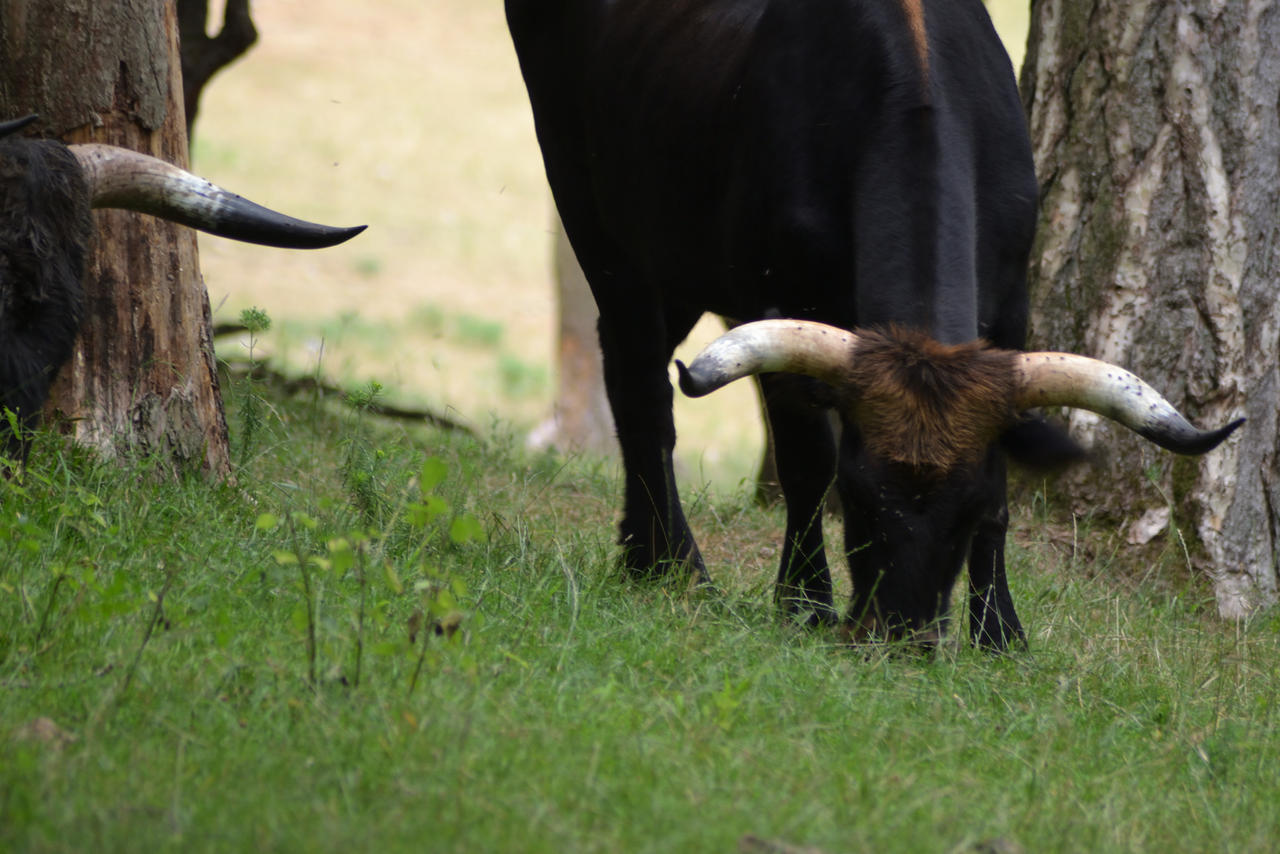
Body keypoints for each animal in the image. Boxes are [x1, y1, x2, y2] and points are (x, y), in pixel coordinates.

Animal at [504, 0, 1242, 647]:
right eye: (858, 499)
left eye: (965, 510)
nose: (901, 634)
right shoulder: (777, 305)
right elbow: (807, 464)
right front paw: (804, 603)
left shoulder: (1010, 309)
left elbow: (1005, 486)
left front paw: (999, 632)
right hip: (596, 222)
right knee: (641, 391)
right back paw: (671, 566)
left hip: (675, 258)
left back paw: (641, 550)